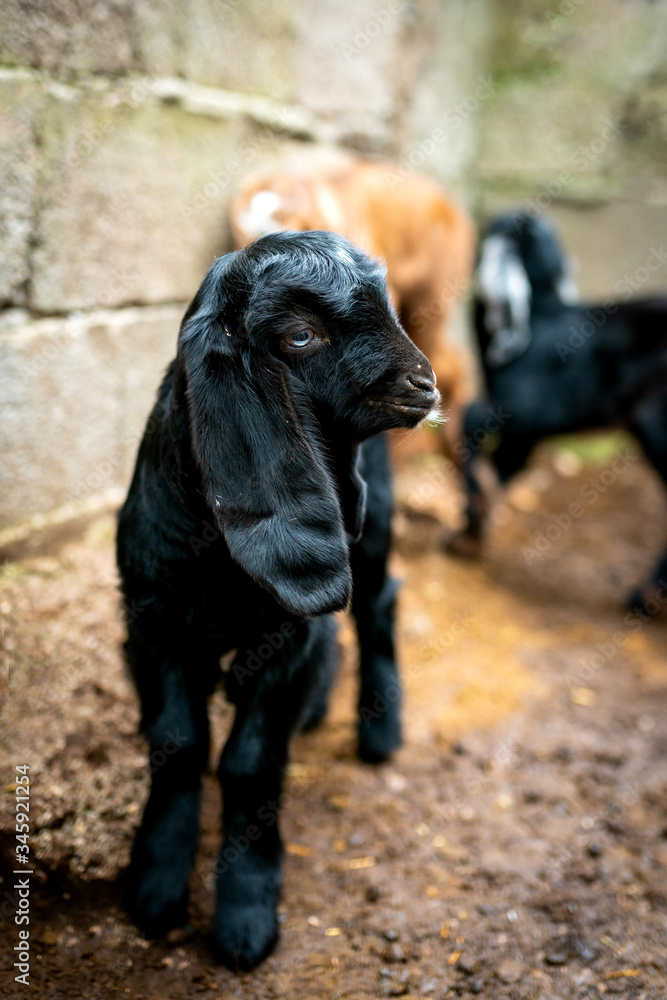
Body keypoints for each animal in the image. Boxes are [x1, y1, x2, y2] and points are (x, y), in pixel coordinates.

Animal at [116, 230, 438, 970]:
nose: (424, 384)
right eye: (300, 335)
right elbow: (176, 744)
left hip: (371, 528)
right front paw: (154, 884)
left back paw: (379, 730)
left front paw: (245, 915)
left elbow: (251, 763)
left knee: (376, 606)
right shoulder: (153, 623)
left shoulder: (286, 637)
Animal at [450, 210, 667, 610]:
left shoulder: (529, 406)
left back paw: (646, 596)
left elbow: (470, 415)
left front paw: (474, 505)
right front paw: (469, 534)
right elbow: (505, 466)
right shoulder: (526, 435)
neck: (541, 315)